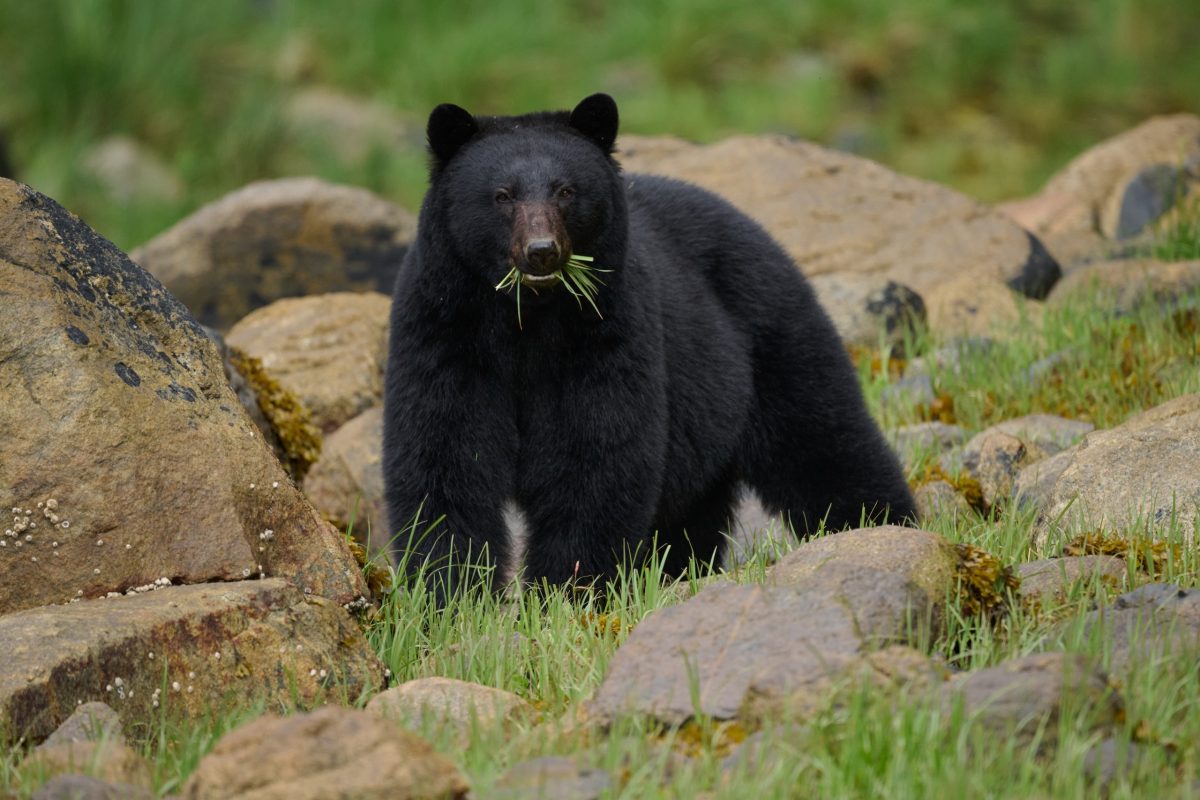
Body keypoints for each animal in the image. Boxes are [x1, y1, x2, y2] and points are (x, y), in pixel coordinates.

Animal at [383, 93, 915, 601]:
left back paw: (884, 526)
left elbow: (596, 457)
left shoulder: (607, 333)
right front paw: (448, 594)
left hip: (770, 332)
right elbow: (443, 457)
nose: (541, 251)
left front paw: (565, 593)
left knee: (823, 437)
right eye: (501, 195)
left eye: (566, 190)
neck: (526, 320)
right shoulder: (443, 333)